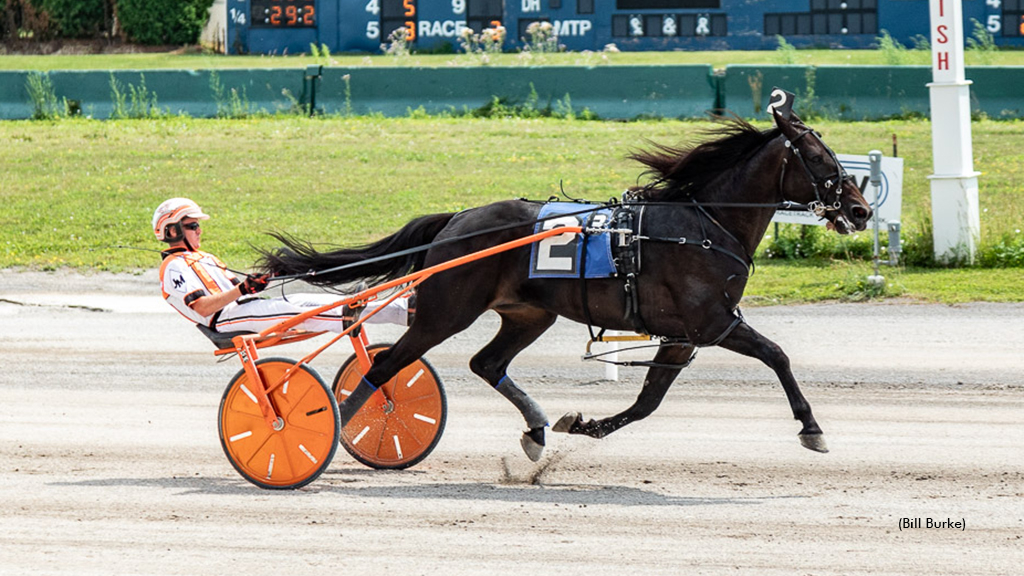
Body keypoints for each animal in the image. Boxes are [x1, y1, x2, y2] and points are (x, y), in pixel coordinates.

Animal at [258, 109, 872, 461]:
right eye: (818, 157)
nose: (862, 210)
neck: (703, 224)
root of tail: (457, 220)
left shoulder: (684, 334)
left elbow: (649, 400)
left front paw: (586, 424)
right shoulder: (713, 322)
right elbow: (778, 355)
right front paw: (812, 427)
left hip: (530, 314)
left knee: (486, 362)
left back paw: (534, 430)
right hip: (444, 312)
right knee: (386, 365)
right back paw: (336, 428)